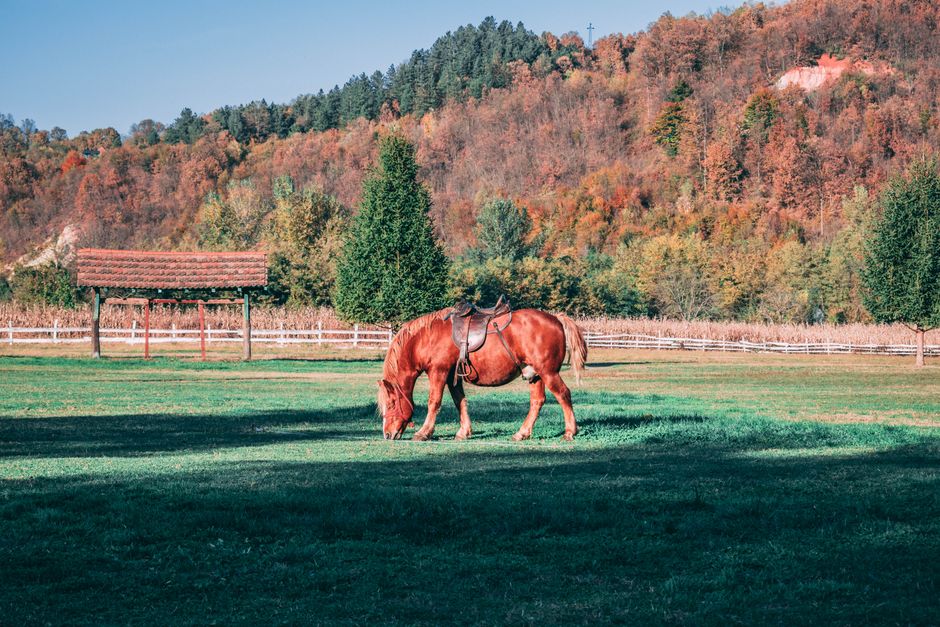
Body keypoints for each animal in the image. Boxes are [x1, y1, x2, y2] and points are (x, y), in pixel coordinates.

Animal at [377, 306, 587, 441]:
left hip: (548, 372)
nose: (387, 434)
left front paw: (424, 432)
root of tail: (556, 318)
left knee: (563, 394)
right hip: (535, 375)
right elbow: (460, 402)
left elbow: (434, 402)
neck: (427, 338)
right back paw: (522, 433)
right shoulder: (453, 378)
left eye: (392, 403)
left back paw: (570, 431)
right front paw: (464, 432)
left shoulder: (438, 372)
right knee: (537, 401)